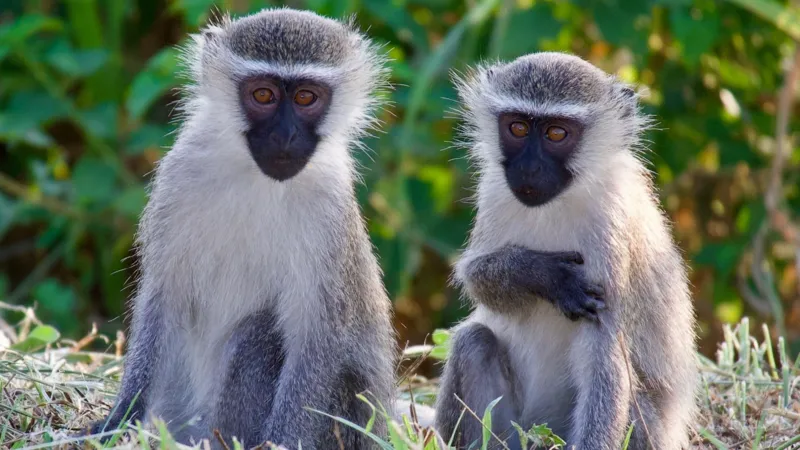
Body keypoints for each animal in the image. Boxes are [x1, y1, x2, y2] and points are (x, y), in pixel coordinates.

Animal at [87, 8, 397, 449]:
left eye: (306, 97)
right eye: (263, 95)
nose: (285, 135)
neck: (257, 179)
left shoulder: (330, 210)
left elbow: (318, 334)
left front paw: (280, 442)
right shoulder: (177, 180)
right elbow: (164, 298)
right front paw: (120, 419)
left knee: (260, 334)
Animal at [434, 52, 698, 450]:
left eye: (557, 133)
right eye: (517, 128)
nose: (529, 168)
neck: (558, 202)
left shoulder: (611, 225)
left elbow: (603, 350)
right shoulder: (494, 190)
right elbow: (476, 277)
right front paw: (541, 274)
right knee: (473, 341)